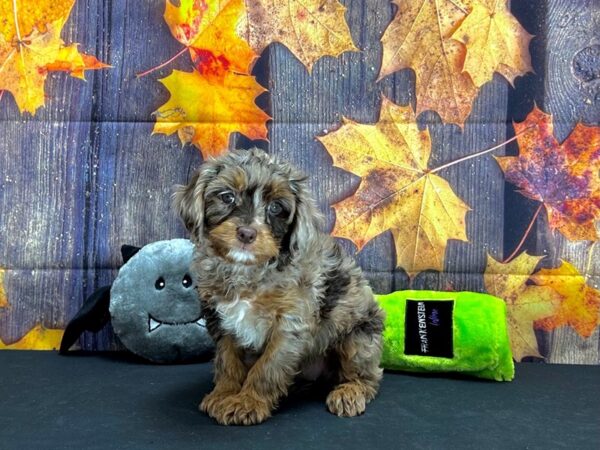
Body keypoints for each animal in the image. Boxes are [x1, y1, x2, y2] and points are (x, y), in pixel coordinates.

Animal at [173, 149, 384, 426]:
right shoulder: (222, 321)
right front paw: (224, 394)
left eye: (276, 207)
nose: (247, 233)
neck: (248, 271)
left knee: (367, 376)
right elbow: (227, 361)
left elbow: (268, 366)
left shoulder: (290, 324)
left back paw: (349, 392)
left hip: (358, 338)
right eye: (227, 196)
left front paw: (246, 402)